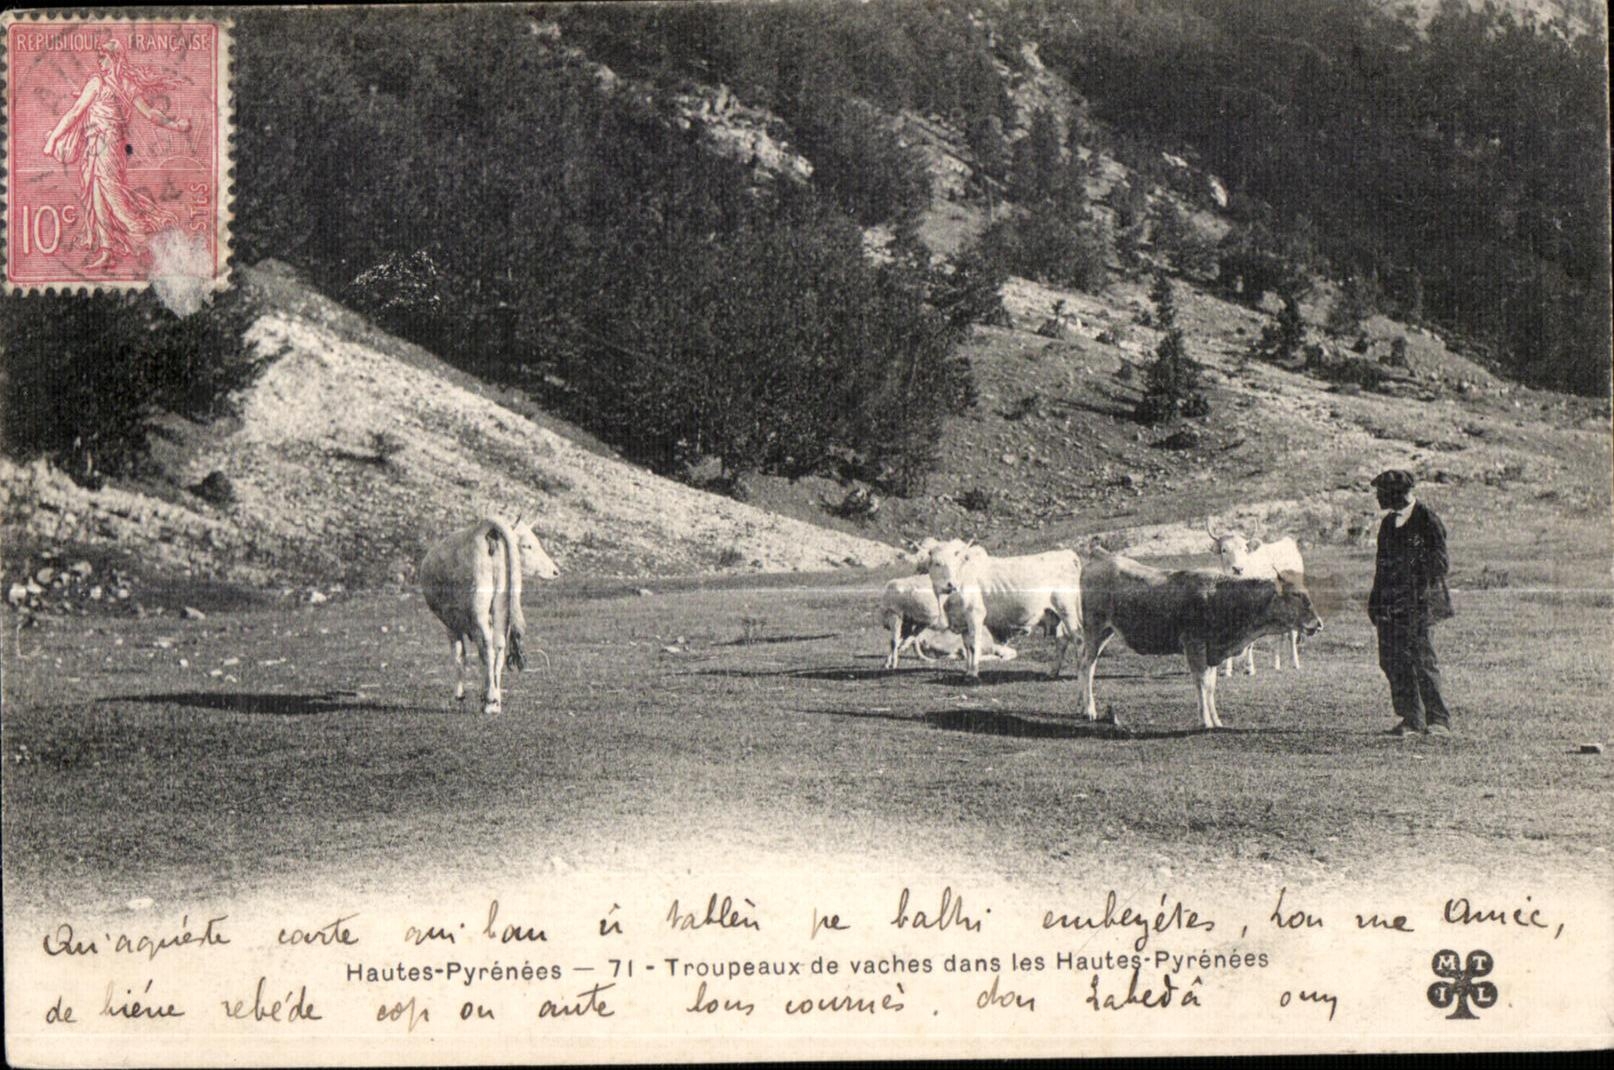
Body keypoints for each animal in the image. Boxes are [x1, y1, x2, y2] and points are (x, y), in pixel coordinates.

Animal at [420, 514, 560, 714]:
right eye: (527, 545)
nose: (556, 571)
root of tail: (489, 531)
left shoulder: (450, 624)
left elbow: (459, 654)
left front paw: (460, 694)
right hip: (501, 605)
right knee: (498, 646)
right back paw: (495, 699)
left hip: (479, 604)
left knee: (487, 647)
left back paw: (490, 701)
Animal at [923, 540, 1083, 679]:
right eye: (937, 563)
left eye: (957, 563)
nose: (951, 584)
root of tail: (1066, 554)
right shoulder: (963, 622)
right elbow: (968, 647)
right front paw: (968, 670)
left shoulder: (975, 613)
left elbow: (974, 645)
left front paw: (973, 673)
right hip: (1056, 614)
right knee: (1062, 640)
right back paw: (1052, 672)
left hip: (1067, 609)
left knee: (1078, 638)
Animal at [1075, 551, 1323, 730]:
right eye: (1296, 595)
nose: (1318, 623)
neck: (1220, 597)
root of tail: (1095, 563)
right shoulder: (1194, 645)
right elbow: (1202, 683)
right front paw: (1205, 721)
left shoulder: (1211, 652)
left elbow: (1211, 686)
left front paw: (1217, 721)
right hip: (1095, 630)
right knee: (1087, 665)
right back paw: (1089, 710)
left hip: (1104, 632)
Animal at [1206, 519, 1307, 675]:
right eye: (1224, 550)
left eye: (1245, 550)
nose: (1238, 569)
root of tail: (1287, 542)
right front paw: (1226, 670)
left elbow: (1250, 642)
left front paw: (1249, 668)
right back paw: (1276, 664)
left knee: (1292, 633)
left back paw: (1295, 663)